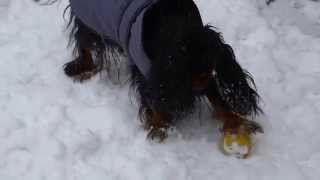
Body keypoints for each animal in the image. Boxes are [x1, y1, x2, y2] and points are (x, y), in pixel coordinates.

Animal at [57, 0, 262, 153]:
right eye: (188, 75)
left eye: (208, 71)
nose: (198, 89)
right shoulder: (149, 74)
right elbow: (155, 101)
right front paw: (159, 127)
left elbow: (219, 100)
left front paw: (237, 123)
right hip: (87, 21)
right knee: (85, 44)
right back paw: (81, 69)